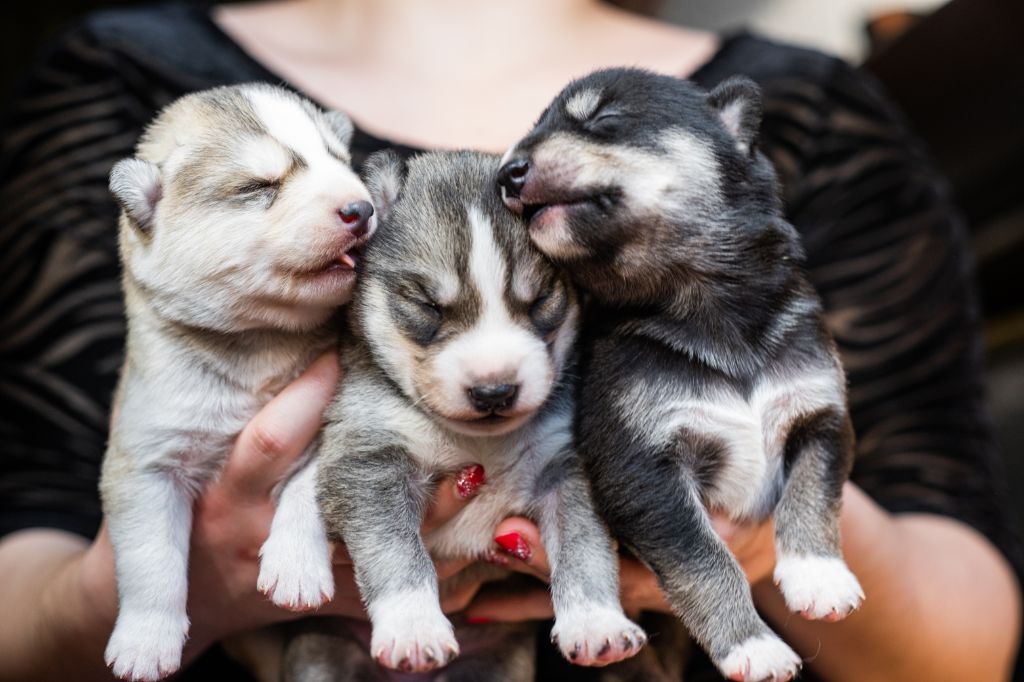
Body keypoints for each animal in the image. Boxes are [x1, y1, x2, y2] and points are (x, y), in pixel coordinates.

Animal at [97, 82, 372, 675]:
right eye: (258, 187)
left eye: (341, 162)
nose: (361, 208)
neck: (257, 342)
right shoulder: (146, 462)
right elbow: (150, 557)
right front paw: (145, 639)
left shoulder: (344, 426)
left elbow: (305, 491)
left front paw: (295, 565)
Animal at [305, 148, 638, 675]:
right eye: (427, 305)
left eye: (541, 299)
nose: (494, 392)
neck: (480, 445)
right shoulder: (368, 460)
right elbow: (393, 549)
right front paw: (414, 628)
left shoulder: (567, 466)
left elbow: (585, 545)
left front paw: (596, 622)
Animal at [495, 69, 864, 679]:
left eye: (603, 120)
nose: (506, 173)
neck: (703, 305)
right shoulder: (644, 470)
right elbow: (704, 561)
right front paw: (752, 647)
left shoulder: (821, 415)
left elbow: (814, 490)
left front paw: (819, 576)